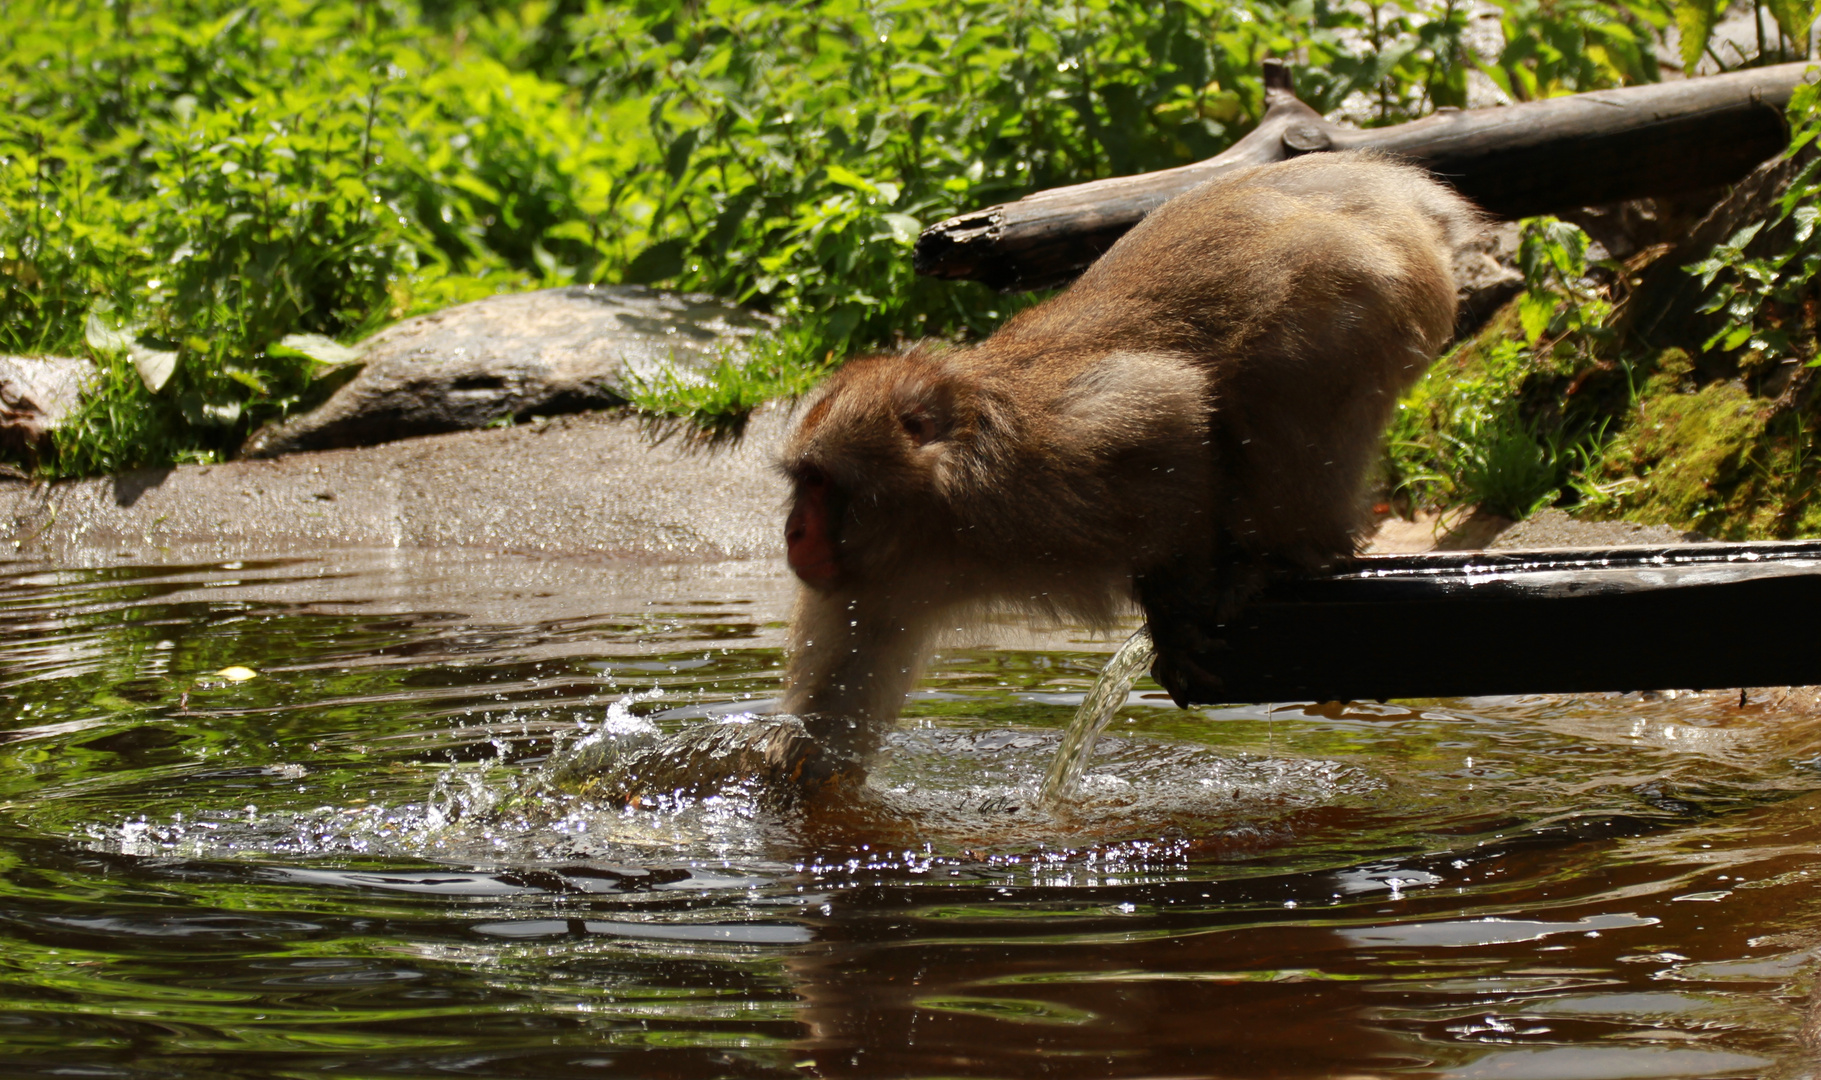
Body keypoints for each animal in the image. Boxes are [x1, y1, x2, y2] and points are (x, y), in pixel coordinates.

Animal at [768, 151, 1478, 772]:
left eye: (818, 481)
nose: (793, 533)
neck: (943, 516)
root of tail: (1392, 189)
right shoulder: (872, 583)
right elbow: (825, 733)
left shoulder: (1067, 444)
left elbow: (1172, 410)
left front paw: (1169, 600)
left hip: (1362, 289)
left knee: (1281, 371)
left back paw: (1283, 557)